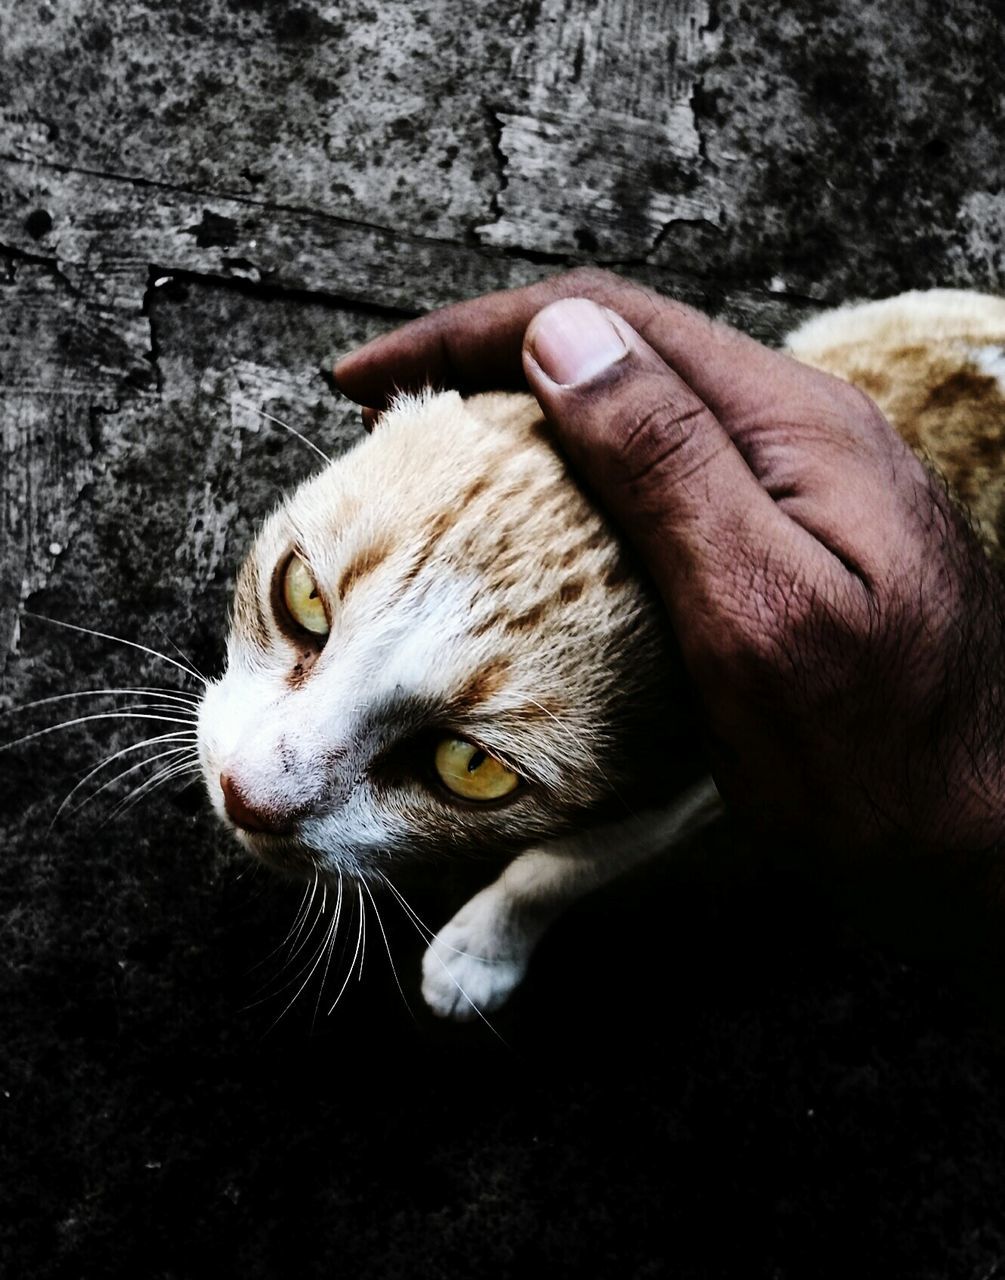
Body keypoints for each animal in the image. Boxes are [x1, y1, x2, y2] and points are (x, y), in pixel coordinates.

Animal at [194, 288, 1003, 1018]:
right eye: (303, 597)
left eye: (470, 768)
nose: (244, 796)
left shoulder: (706, 779)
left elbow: (559, 869)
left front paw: (484, 949)